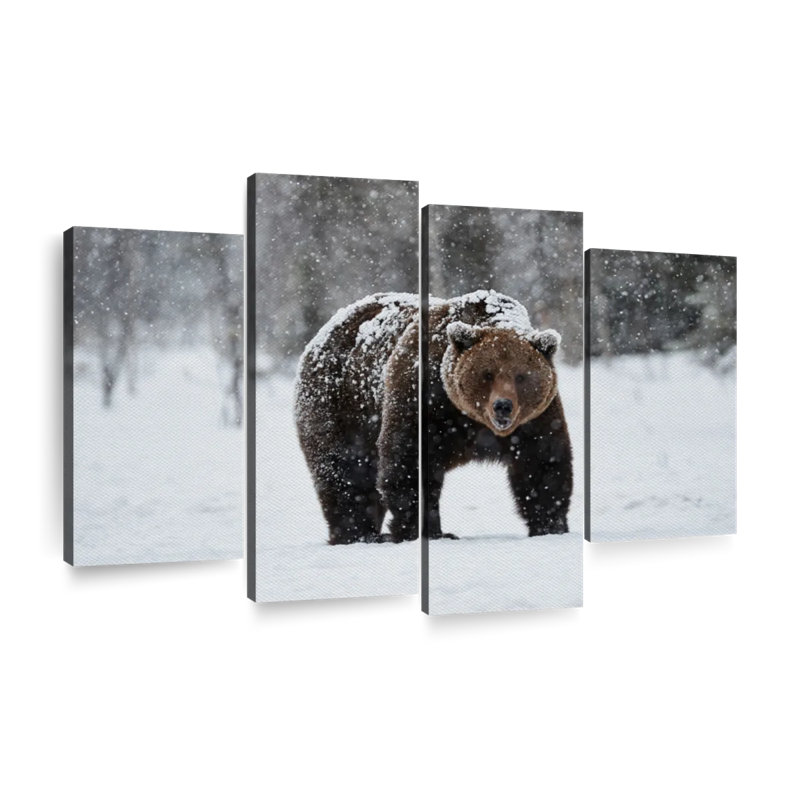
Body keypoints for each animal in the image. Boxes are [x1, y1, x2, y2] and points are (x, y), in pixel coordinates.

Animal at [293, 289, 571, 545]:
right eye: (487, 373)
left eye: (521, 376)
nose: (502, 406)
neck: (471, 419)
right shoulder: (422, 398)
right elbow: (408, 463)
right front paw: (422, 531)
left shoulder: (534, 419)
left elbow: (543, 464)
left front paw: (550, 526)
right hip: (341, 404)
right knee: (347, 474)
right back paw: (357, 534)